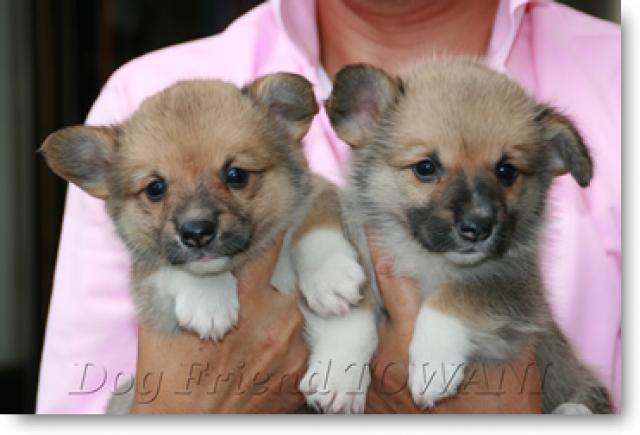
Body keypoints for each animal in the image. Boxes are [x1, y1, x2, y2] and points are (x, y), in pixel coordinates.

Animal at [325, 59, 613, 414]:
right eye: (426, 167)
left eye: (507, 171)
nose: (478, 227)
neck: (428, 260)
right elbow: (354, 314)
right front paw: (339, 373)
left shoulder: (517, 290)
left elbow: (455, 294)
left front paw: (433, 364)